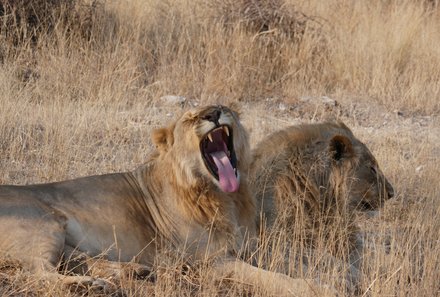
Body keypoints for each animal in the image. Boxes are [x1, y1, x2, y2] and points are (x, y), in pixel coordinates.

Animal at [0, 105, 328, 294]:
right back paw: (87, 286)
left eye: (223, 107)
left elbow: (292, 257)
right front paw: (313, 287)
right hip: (45, 225)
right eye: (190, 118)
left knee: (74, 260)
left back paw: (131, 271)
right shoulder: (211, 262)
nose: (213, 115)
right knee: (39, 273)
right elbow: (268, 277)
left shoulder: (251, 245)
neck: (225, 199)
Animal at [251, 120, 396, 286]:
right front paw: (350, 278)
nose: (392, 193)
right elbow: (323, 258)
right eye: (372, 168)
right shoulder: (276, 240)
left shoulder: (345, 237)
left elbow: (372, 251)